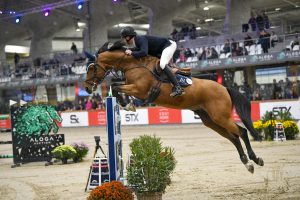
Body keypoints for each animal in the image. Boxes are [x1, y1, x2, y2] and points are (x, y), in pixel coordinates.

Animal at [83, 41, 264, 173]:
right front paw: (128, 105)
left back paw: (255, 159)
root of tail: (224, 88)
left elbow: (116, 87)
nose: (87, 88)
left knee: (242, 132)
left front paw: (128, 105)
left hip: (220, 116)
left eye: (91, 68)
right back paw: (247, 163)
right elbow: (115, 86)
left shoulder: (139, 89)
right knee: (233, 137)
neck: (132, 64)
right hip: (210, 120)